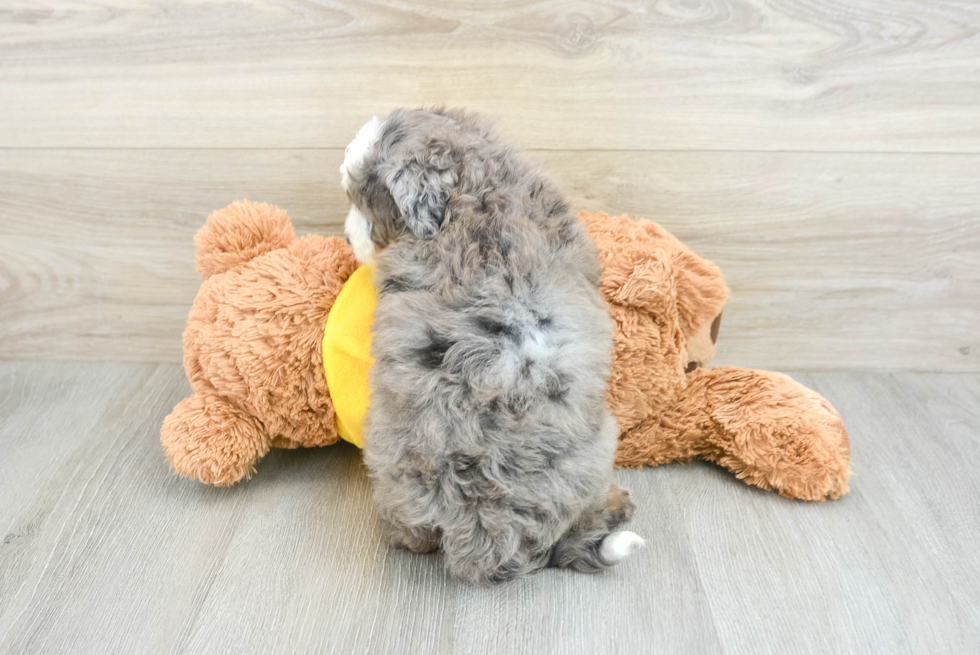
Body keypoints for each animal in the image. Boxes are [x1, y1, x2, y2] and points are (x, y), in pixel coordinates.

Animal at [338, 107, 644, 584]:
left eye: (366, 201)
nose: (347, 239)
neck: (472, 188)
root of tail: (482, 532)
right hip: (598, 444)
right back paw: (614, 504)